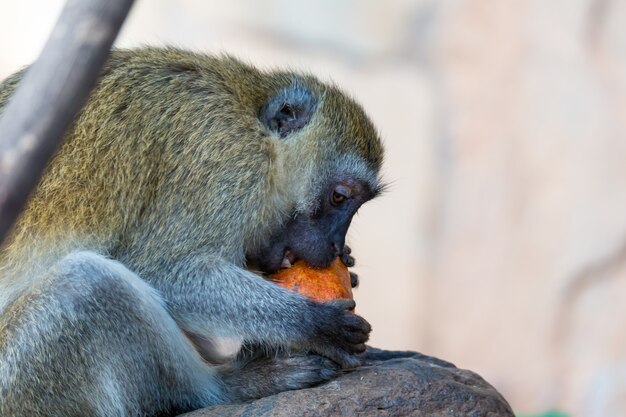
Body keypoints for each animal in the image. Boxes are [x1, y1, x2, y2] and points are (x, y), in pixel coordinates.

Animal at [0, 46, 380, 416]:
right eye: (339, 197)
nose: (334, 245)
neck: (251, 118)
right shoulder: (230, 160)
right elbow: (162, 272)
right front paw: (315, 324)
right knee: (86, 285)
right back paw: (225, 387)